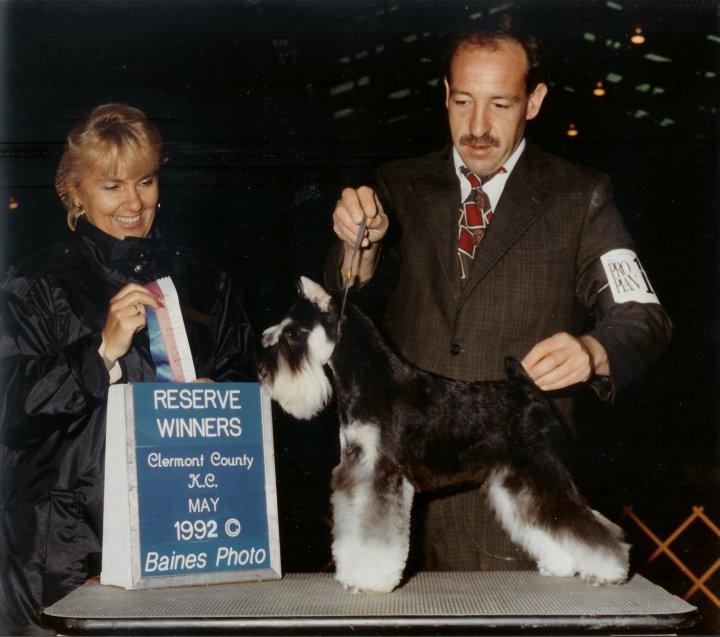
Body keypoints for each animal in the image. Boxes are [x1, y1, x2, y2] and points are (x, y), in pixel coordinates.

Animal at [259, 277, 629, 593]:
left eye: (292, 335)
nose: (261, 371)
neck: (369, 379)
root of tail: (529, 389)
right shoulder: (356, 473)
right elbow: (354, 527)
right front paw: (352, 573)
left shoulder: (380, 476)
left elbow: (373, 534)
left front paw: (369, 579)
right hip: (517, 481)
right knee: (544, 521)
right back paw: (561, 565)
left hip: (542, 470)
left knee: (583, 522)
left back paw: (610, 570)